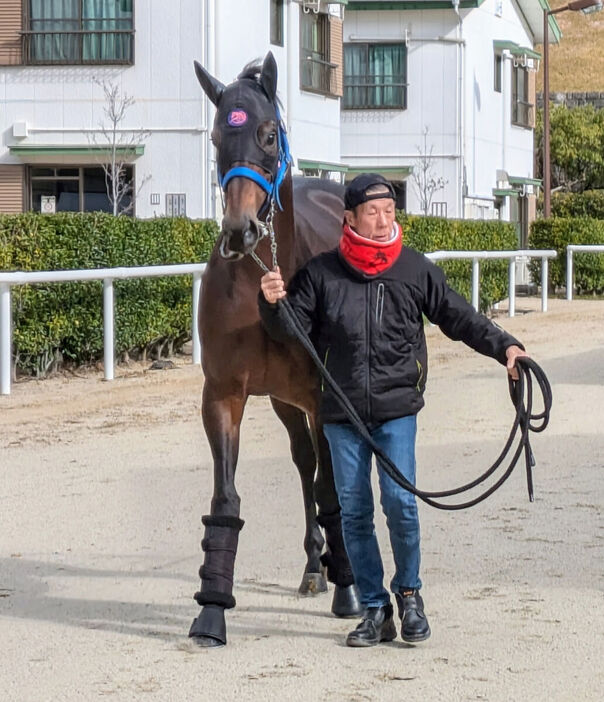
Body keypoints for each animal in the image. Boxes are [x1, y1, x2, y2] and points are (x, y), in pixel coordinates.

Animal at [189, 53, 358, 648]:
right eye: (219, 136)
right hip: (285, 402)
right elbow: (226, 501)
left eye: (267, 134)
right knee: (304, 461)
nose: (240, 231)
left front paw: (350, 593)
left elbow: (334, 488)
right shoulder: (223, 396)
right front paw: (211, 612)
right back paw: (313, 566)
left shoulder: (323, 396)